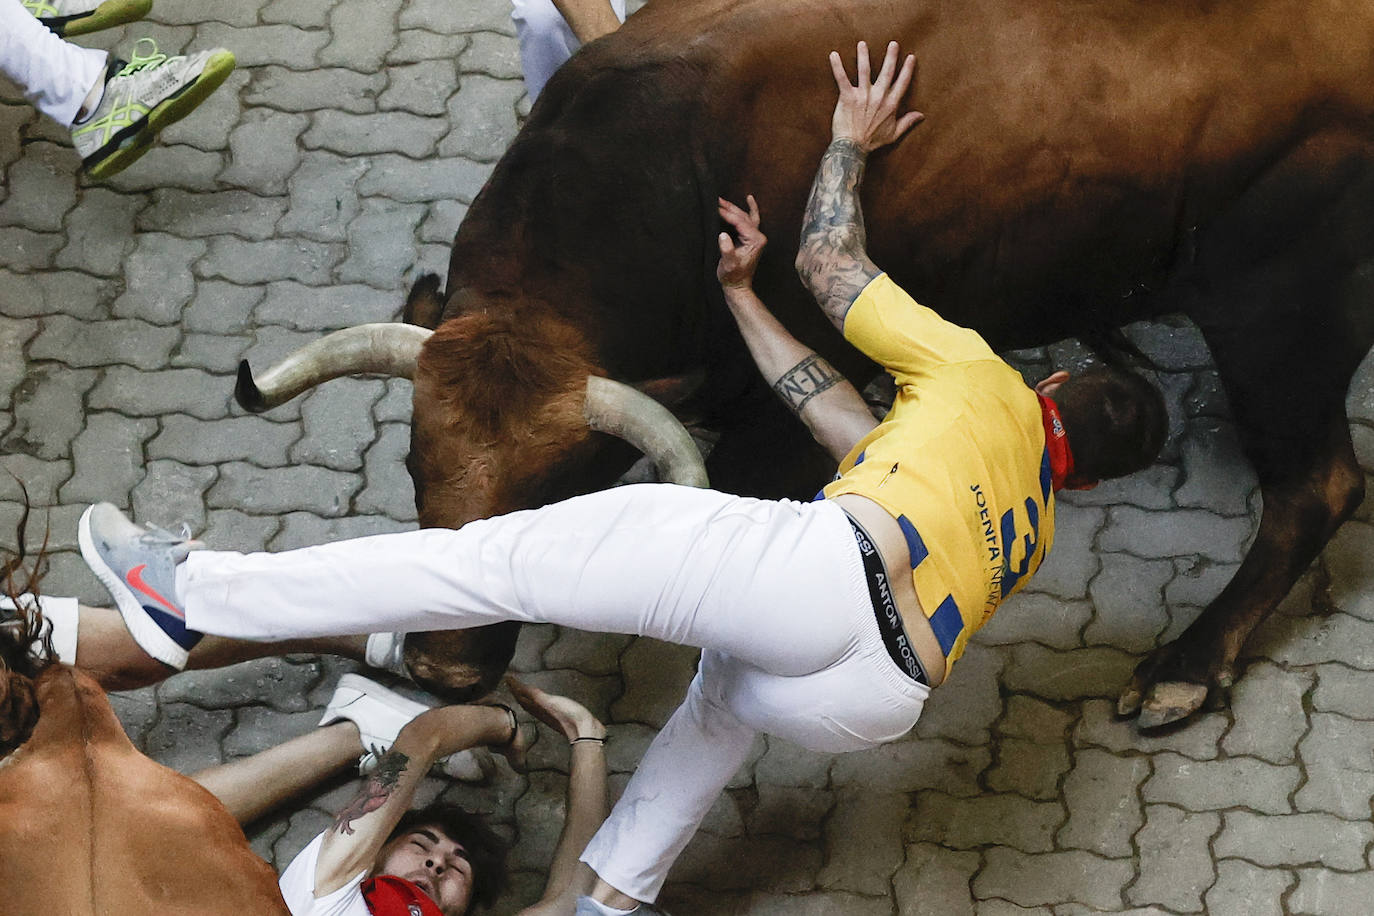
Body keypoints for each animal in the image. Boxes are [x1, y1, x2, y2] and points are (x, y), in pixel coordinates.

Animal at [241, 1, 1374, 730]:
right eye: (413, 469)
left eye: (555, 494)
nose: (444, 670)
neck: (665, 168)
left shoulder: (782, 416)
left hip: (1280, 321)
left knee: (1317, 487)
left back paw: (1185, 667)